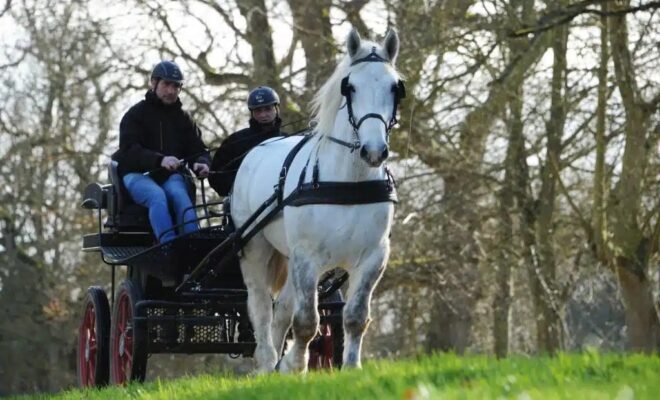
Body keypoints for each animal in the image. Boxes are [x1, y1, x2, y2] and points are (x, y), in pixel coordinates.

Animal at [232, 28, 402, 376]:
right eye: (350, 87)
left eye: (395, 87)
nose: (373, 151)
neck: (348, 183)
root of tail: (260, 147)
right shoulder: (306, 256)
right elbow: (307, 320)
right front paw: (296, 365)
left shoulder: (373, 257)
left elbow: (355, 317)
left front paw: (351, 367)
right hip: (256, 247)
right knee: (261, 305)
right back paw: (267, 361)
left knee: (282, 307)